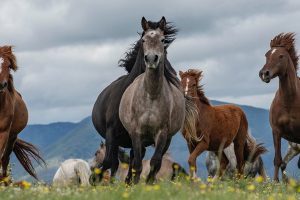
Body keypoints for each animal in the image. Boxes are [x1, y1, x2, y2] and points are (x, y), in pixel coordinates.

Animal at [91, 16, 179, 183]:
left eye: (164, 42)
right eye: (143, 41)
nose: (172, 73)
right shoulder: (112, 134)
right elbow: (109, 162)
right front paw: (94, 178)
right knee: (115, 162)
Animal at [258, 32, 300, 181]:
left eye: (281, 56)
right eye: (266, 55)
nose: (264, 73)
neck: (290, 102)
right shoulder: (276, 131)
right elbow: (277, 160)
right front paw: (276, 183)